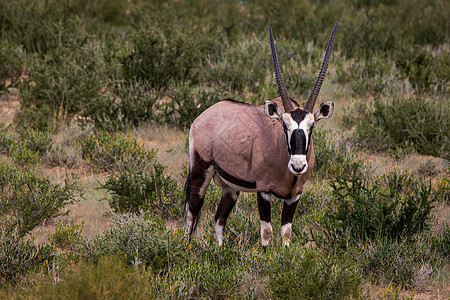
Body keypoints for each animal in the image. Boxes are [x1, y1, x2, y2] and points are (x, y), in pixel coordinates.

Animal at [185, 19, 336, 247]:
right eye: (284, 126)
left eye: (311, 127)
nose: (298, 166)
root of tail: (202, 117)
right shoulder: (264, 191)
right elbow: (267, 232)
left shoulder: (295, 195)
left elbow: (286, 232)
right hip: (200, 171)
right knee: (192, 212)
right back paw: (185, 248)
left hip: (230, 187)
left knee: (219, 219)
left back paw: (219, 252)